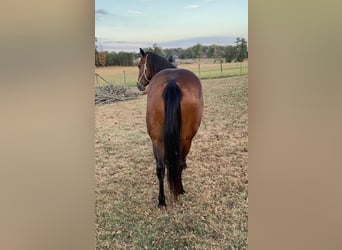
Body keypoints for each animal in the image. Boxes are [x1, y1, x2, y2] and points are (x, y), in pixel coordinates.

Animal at [136, 48, 203, 207]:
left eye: (139, 65)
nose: (138, 85)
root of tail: (172, 82)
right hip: (186, 139)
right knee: (179, 162)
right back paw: (180, 189)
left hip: (157, 139)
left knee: (160, 168)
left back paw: (161, 200)